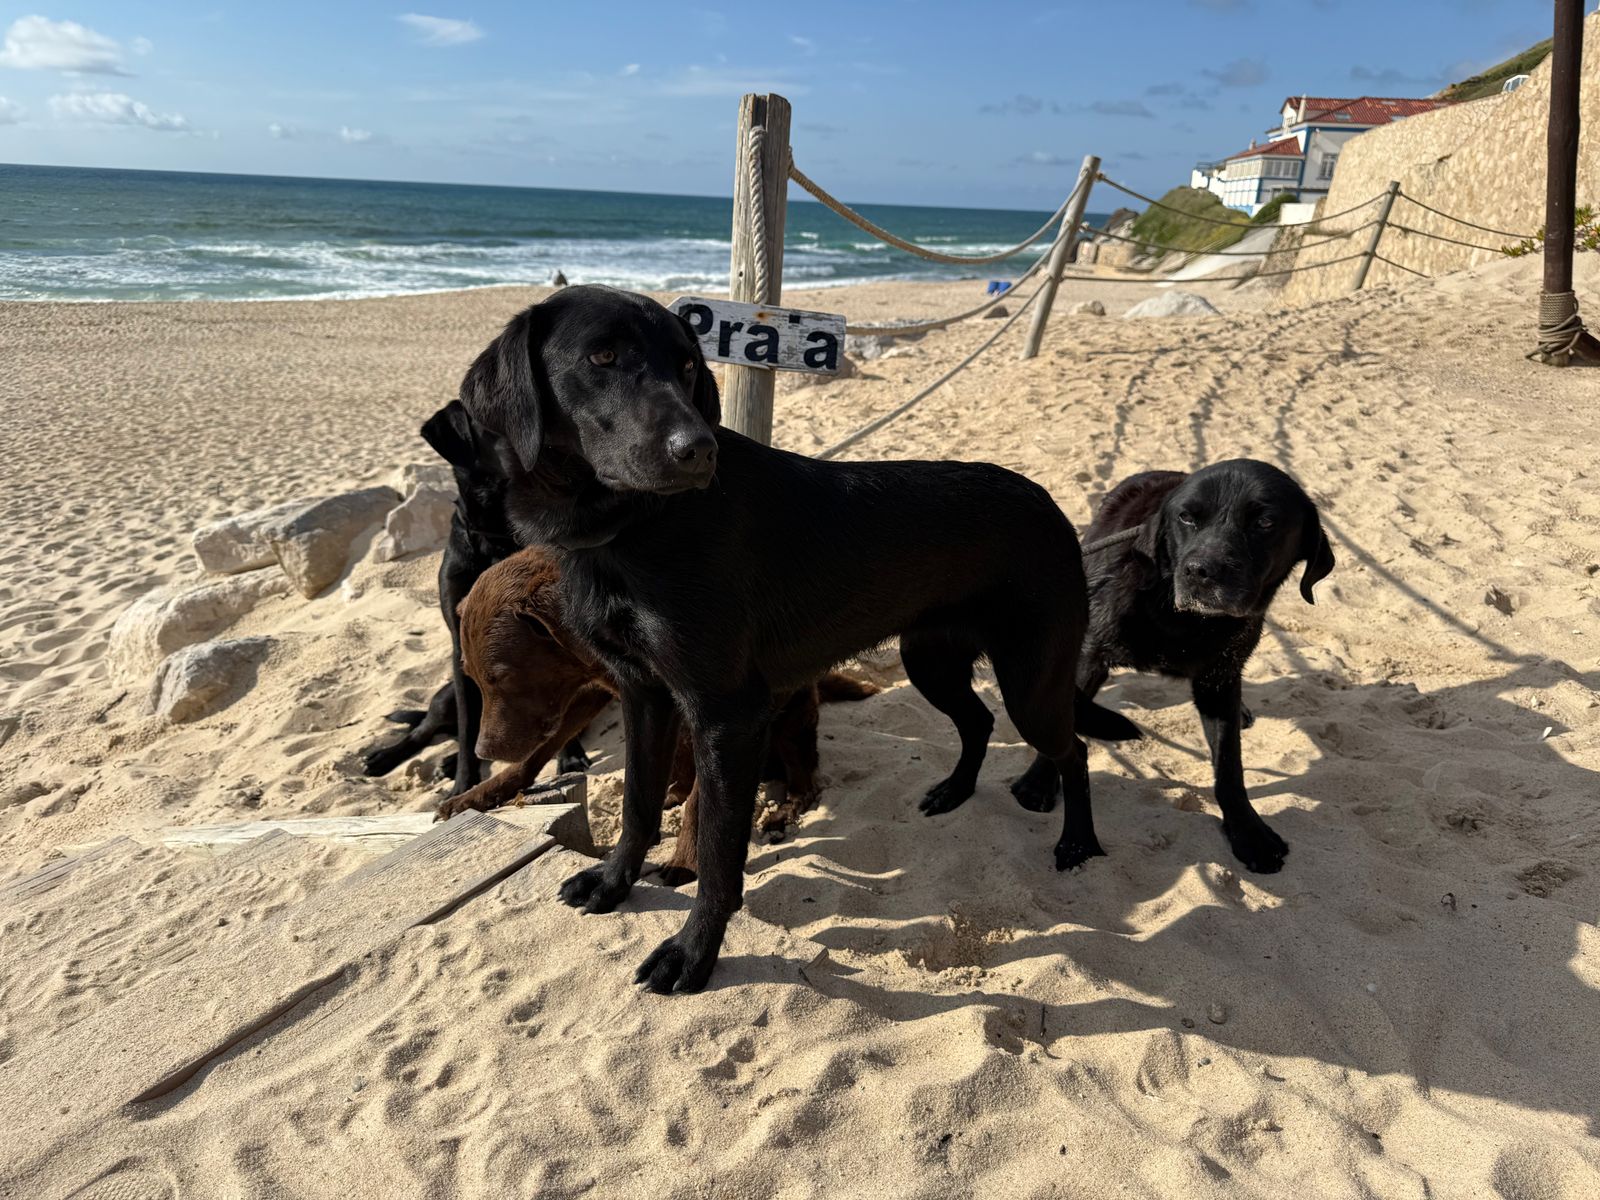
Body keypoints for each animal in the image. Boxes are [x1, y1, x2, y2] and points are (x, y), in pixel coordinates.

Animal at [358, 400, 588, 792]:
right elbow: (468, 732)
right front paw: (463, 783)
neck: (498, 536)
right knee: (427, 729)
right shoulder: (460, 647)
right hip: (447, 693)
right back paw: (390, 756)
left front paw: (569, 756)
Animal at [437, 546, 878, 880]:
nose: (481, 752)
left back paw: (782, 813)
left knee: (805, 781)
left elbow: (700, 802)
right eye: (471, 677)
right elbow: (535, 756)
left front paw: (685, 860)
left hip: (792, 720)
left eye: (503, 676)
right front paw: (476, 795)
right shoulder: (596, 691)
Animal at [1014, 460, 1334, 873]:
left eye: (1265, 522)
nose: (1201, 571)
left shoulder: (1219, 679)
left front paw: (1248, 832)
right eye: (1186, 517)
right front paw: (1038, 782)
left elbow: (1229, 766)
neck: (1180, 617)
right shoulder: (1089, 655)